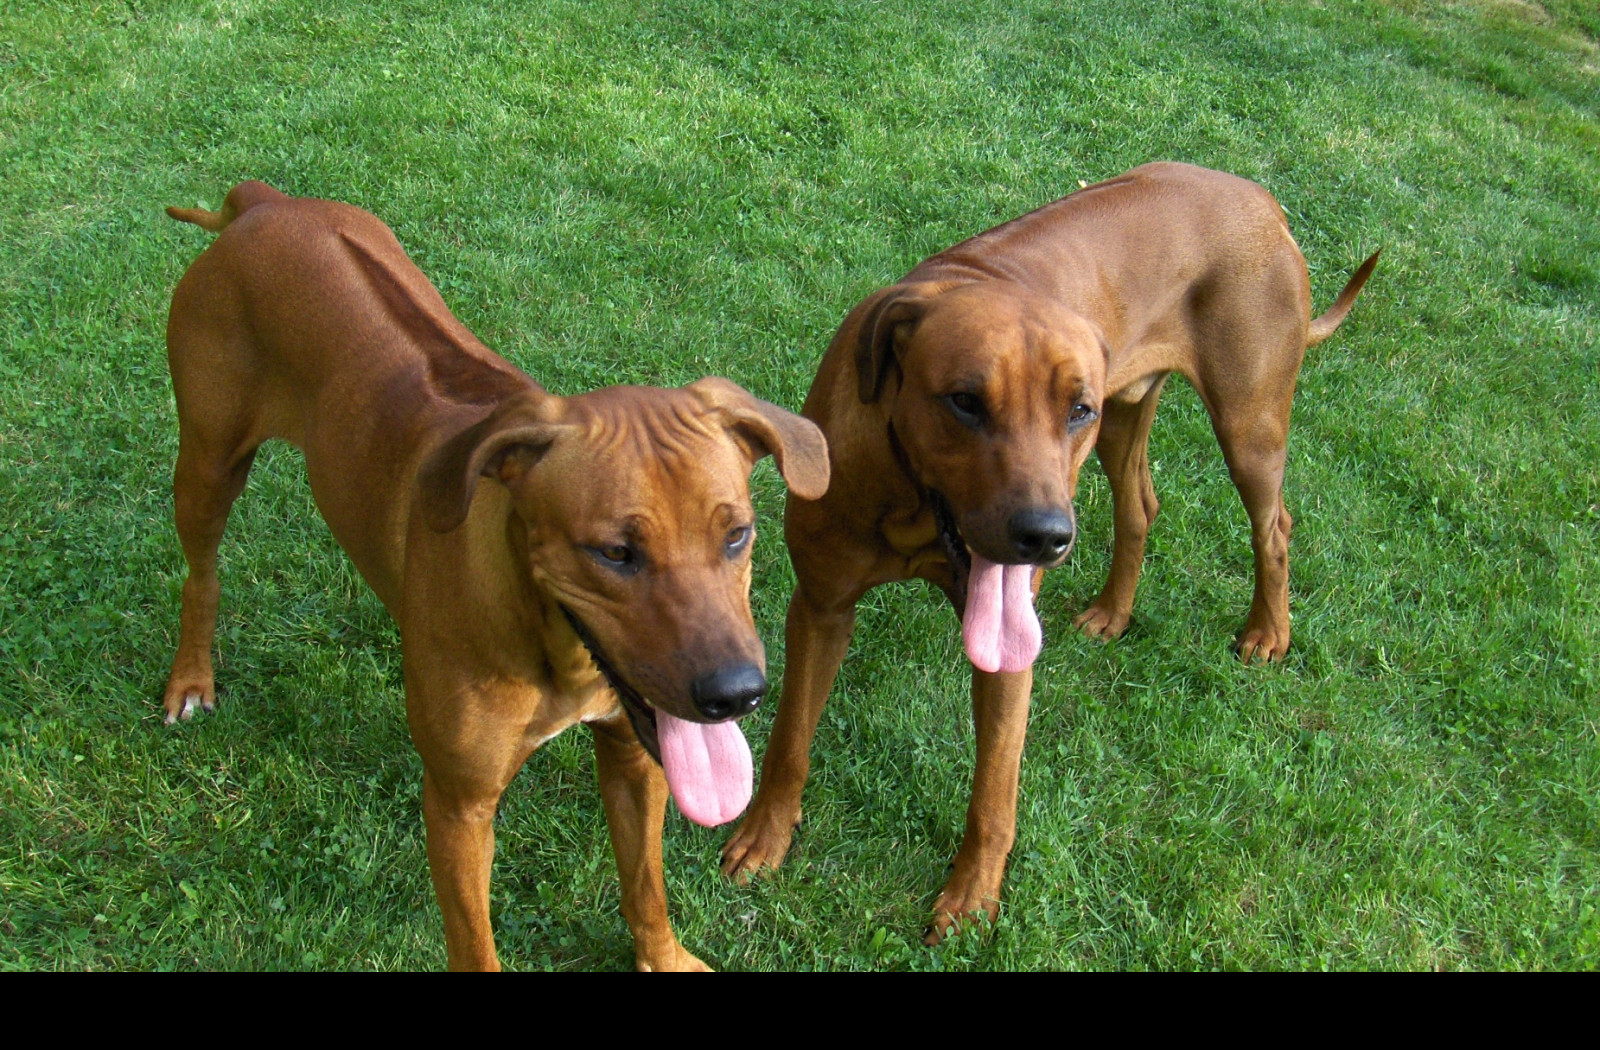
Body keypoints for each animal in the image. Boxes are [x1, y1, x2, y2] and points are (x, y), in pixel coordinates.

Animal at [162, 178, 832, 966]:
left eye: (737, 535)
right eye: (614, 553)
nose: (737, 695)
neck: (556, 647)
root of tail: (267, 203)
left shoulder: (636, 756)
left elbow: (646, 887)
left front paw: (664, 956)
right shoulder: (459, 806)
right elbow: (475, 944)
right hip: (208, 460)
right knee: (200, 574)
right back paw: (190, 679)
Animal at [723, 161, 1376, 941]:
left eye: (1073, 410)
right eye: (965, 401)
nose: (1045, 538)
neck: (911, 504)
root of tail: (1259, 197)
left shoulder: (1008, 646)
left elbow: (995, 792)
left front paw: (971, 896)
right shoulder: (822, 604)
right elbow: (791, 737)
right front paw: (766, 835)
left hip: (1243, 420)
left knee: (1273, 525)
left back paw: (1268, 631)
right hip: (1129, 417)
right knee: (1140, 506)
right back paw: (1114, 611)